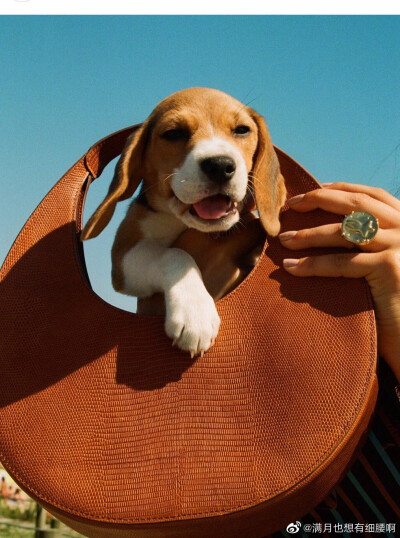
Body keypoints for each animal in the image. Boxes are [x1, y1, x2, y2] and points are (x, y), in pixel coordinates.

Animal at [82, 88, 288, 356]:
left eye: (242, 130)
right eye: (174, 133)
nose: (220, 165)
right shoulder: (124, 258)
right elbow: (175, 254)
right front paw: (195, 314)